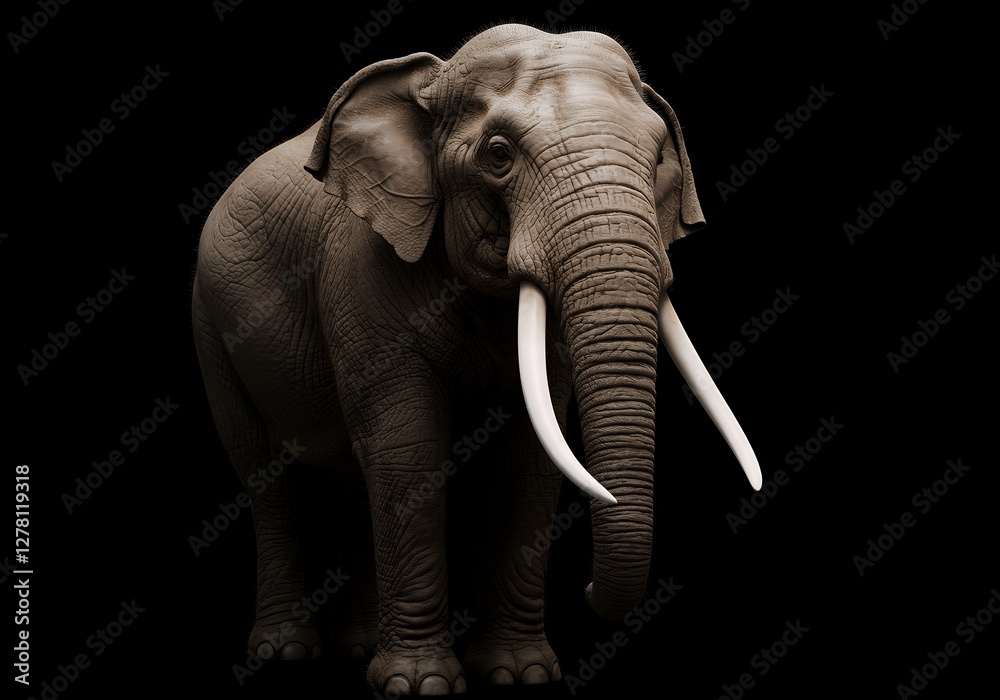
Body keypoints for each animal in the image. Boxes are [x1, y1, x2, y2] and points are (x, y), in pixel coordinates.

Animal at [191, 22, 761, 695]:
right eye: (497, 154)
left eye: (658, 160)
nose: (586, 587)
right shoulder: (361, 271)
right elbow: (407, 448)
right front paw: (419, 686)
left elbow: (530, 457)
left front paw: (521, 674)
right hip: (210, 321)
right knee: (266, 476)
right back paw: (284, 653)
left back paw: (356, 649)